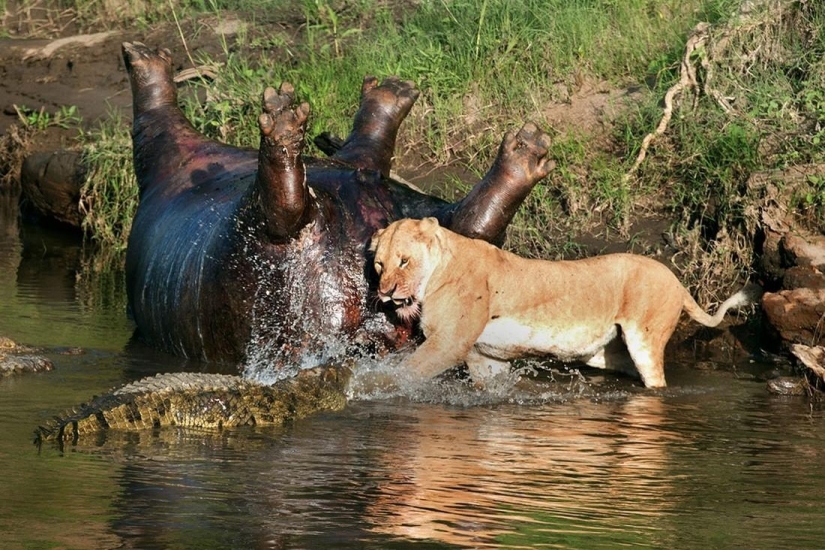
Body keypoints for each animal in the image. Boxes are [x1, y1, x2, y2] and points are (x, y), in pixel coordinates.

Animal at [369, 217, 759, 388]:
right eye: (379, 265)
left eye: (403, 261)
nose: (385, 292)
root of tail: (675, 279)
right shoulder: (484, 357)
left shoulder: (448, 343)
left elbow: (405, 373)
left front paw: (370, 387)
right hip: (603, 353)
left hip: (644, 340)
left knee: (657, 382)